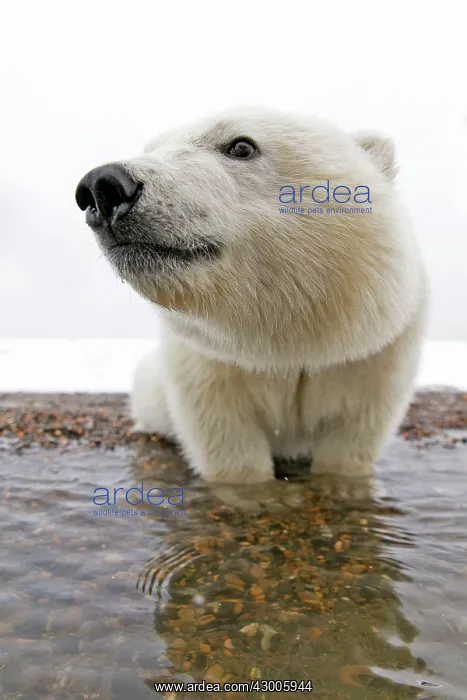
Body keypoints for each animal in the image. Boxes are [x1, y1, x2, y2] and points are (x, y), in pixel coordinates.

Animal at [75, 106, 429, 483]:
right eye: (152, 148)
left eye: (241, 146)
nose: (102, 187)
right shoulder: (209, 366)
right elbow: (231, 447)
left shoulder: (371, 358)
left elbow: (350, 442)